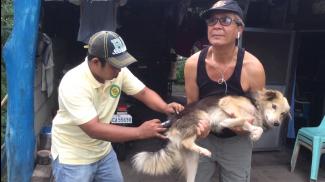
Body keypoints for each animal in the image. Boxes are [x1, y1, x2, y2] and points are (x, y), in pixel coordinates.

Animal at [132, 89, 288, 182]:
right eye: (274, 106)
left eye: (283, 114)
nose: (276, 124)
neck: (257, 106)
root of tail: (173, 121)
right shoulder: (227, 103)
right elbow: (242, 118)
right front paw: (227, 122)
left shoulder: (245, 121)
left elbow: (250, 125)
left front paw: (254, 134)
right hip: (203, 117)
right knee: (187, 142)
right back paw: (206, 151)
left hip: (192, 162)